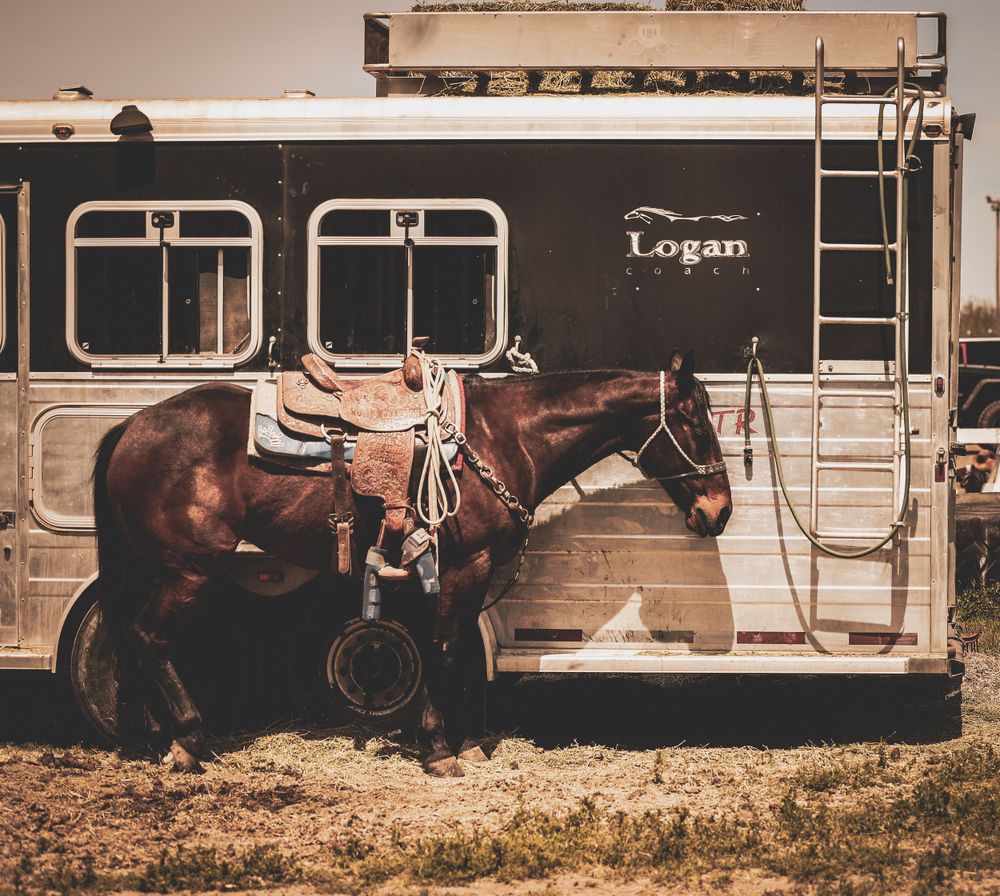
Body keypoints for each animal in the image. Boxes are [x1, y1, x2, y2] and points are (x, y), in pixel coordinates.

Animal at [92, 350, 732, 777]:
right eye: (696, 422)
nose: (719, 510)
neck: (506, 437)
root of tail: (133, 424)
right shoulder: (464, 566)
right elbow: (444, 648)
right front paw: (440, 750)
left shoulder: (466, 573)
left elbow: (459, 651)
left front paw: (468, 744)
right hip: (189, 568)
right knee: (151, 637)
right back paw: (187, 741)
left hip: (155, 568)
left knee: (129, 636)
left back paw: (152, 736)